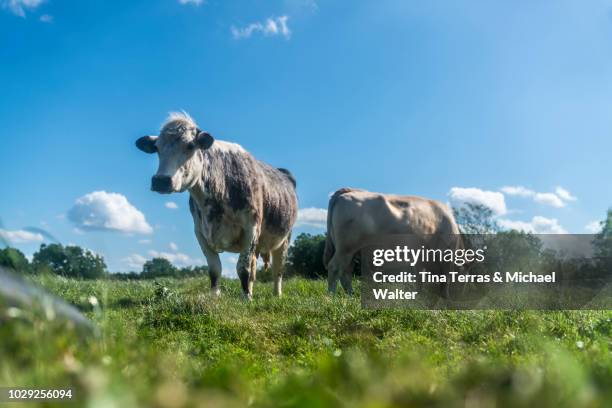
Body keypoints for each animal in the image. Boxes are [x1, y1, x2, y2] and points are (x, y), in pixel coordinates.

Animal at [139, 113, 302, 298]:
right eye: (157, 148)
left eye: (190, 145)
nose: (161, 180)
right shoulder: (200, 232)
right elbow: (215, 269)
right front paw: (215, 296)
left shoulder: (251, 227)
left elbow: (242, 268)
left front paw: (246, 298)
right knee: (254, 270)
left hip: (285, 238)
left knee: (277, 269)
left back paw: (276, 294)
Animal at [326, 186, 460, 294]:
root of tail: (349, 191)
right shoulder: (446, 255)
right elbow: (446, 279)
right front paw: (444, 299)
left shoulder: (420, 258)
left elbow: (420, 278)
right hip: (346, 247)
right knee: (334, 268)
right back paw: (331, 296)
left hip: (350, 250)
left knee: (346, 272)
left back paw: (350, 295)